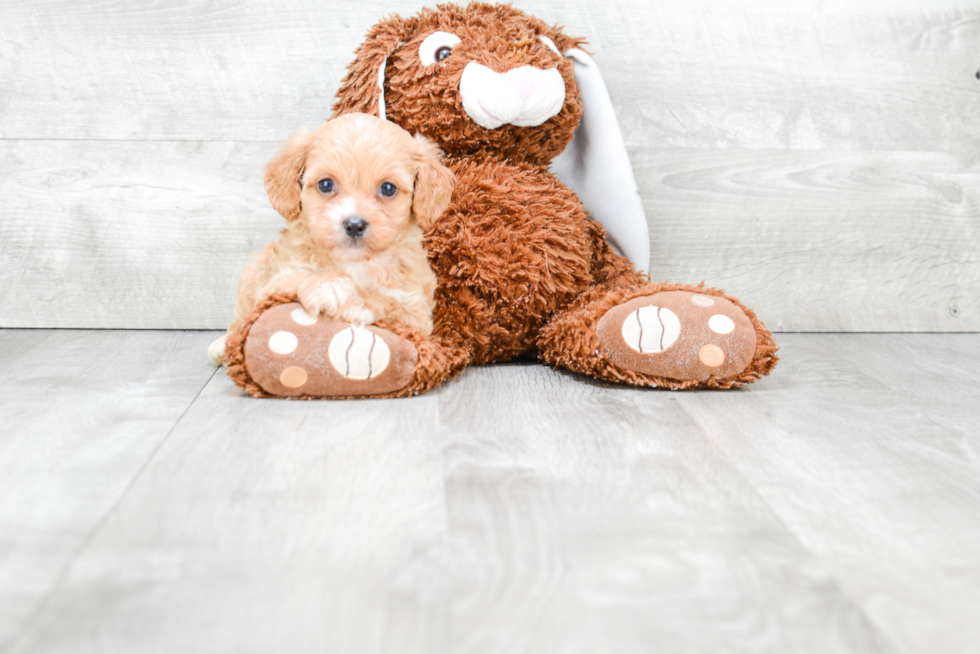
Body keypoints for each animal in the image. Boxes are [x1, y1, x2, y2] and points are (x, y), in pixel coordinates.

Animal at [209, 114, 454, 366]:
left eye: (388, 188)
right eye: (326, 184)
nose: (354, 224)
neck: (353, 262)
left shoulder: (414, 309)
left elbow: (390, 302)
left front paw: (361, 302)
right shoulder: (275, 283)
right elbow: (298, 278)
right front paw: (330, 287)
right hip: (251, 276)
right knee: (240, 319)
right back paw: (222, 345)